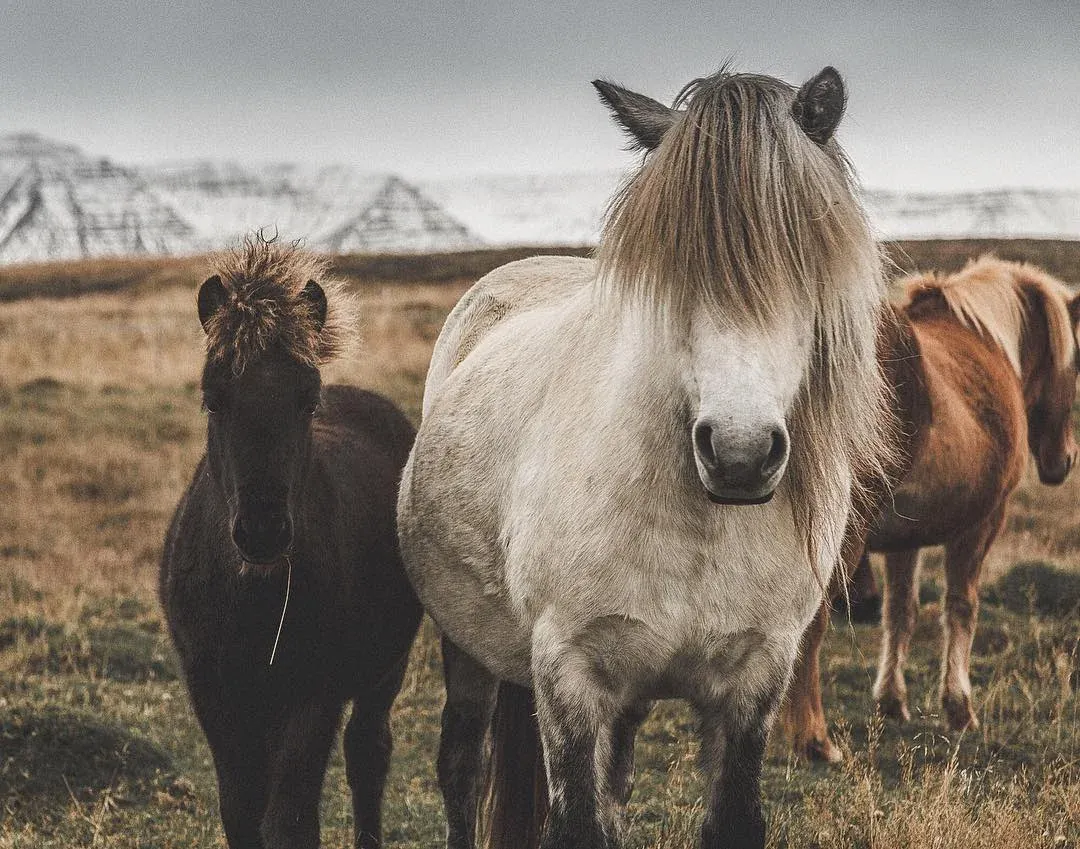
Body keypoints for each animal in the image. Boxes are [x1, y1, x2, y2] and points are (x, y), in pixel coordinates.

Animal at [160, 235, 422, 849]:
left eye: (308, 400)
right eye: (213, 397)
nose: (262, 530)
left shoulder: (311, 696)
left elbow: (290, 819)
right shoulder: (216, 697)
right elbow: (241, 812)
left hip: (385, 670)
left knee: (368, 756)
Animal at [397, 65, 893, 849]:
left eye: (803, 263)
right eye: (674, 269)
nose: (740, 454)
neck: (697, 523)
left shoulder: (756, 676)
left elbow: (725, 817)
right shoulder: (569, 673)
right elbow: (574, 822)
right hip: (467, 647)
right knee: (462, 769)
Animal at [784, 256, 1080, 761]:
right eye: (1075, 366)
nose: (1065, 460)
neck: (987, 341)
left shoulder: (906, 539)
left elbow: (900, 612)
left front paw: (891, 699)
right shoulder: (982, 525)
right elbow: (961, 606)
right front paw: (959, 707)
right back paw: (815, 739)